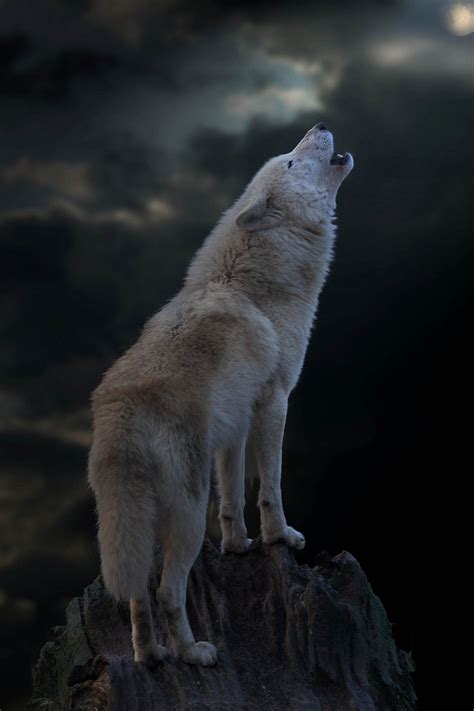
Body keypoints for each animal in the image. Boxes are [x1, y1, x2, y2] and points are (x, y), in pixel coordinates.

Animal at [88, 122, 353, 668]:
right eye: (290, 160)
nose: (317, 126)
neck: (255, 286)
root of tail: (121, 413)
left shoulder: (234, 426)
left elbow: (231, 495)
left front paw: (237, 545)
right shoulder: (275, 401)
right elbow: (270, 486)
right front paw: (279, 538)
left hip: (137, 526)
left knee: (137, 594)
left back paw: (151, 656)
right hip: (186, 519)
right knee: (168, 592)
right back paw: (193, 653)